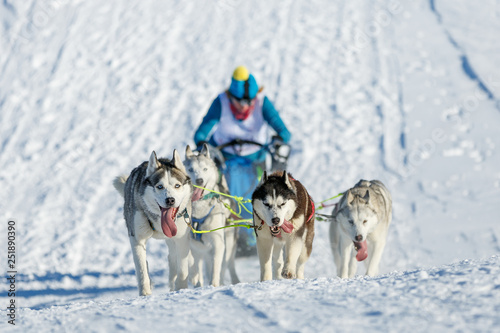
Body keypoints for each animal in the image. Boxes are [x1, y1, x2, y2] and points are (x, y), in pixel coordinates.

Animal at [114, 149, 193, 294]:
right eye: (160, 186)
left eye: (177, 185)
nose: (170, 200)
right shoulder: (137, 239)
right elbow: (142, 271)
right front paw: (145, 294)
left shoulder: (181, 239)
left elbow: (183, 270)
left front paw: (181, 290)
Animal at [185, 144, 239, 286]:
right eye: (190, 169)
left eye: (205, 169)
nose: (199, 180)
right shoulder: (190, 243)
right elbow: (190, 260)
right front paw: (193, 276)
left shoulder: (218, 243)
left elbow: (216, 268)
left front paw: (214, 284)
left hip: (228, 243)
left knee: (227, 264)